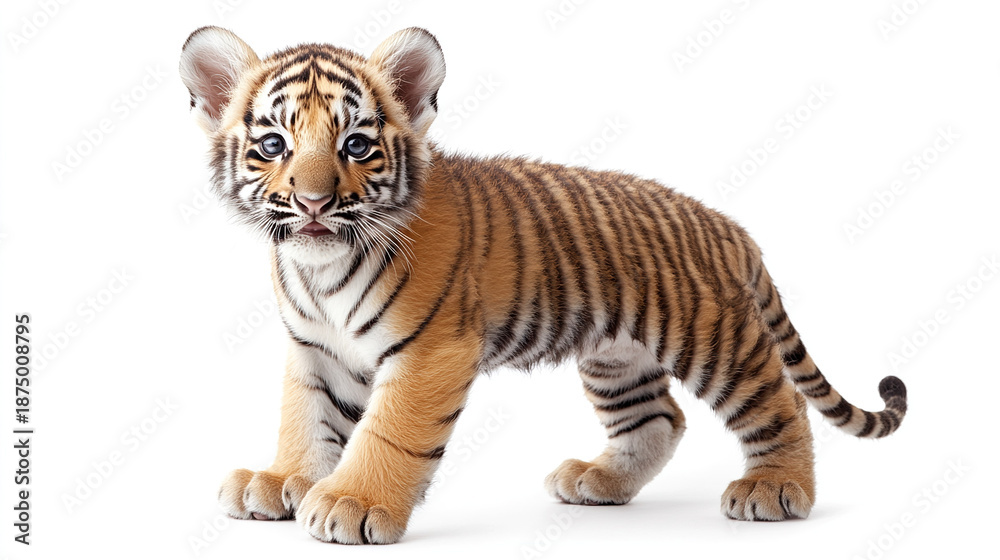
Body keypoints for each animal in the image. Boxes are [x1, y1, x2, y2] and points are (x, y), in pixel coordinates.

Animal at [179, 26, 908, 545]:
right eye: (272, 145)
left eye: (356, 146)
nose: (311, 203)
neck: (321, 269)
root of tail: (725, 223)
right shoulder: (315, 349)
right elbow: (305, 416)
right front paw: (282, 480)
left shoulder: (429, 350)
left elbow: (389, 431)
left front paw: (354, 501)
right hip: (617, 356)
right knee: (659, 419)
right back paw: (599, 481)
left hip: (713, 338)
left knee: (778, 401)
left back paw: (776, 490)